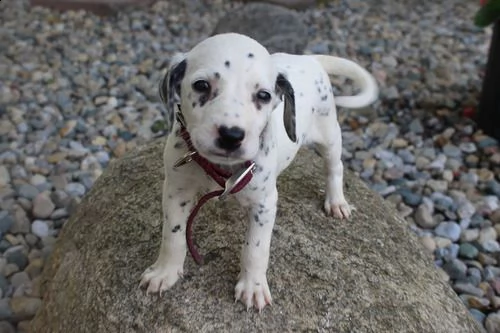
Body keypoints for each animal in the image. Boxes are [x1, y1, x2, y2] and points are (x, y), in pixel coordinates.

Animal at [139, 33, 376, 308]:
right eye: (201, 85)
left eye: (263, 95)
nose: (231, 135)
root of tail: (310, 59)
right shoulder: (176, 192)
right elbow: (173, 235)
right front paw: (165, 272)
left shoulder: (264, 203)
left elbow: (255, 248)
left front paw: (252, 286)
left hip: (329, 135)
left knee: (335, 167)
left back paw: (336, 201)